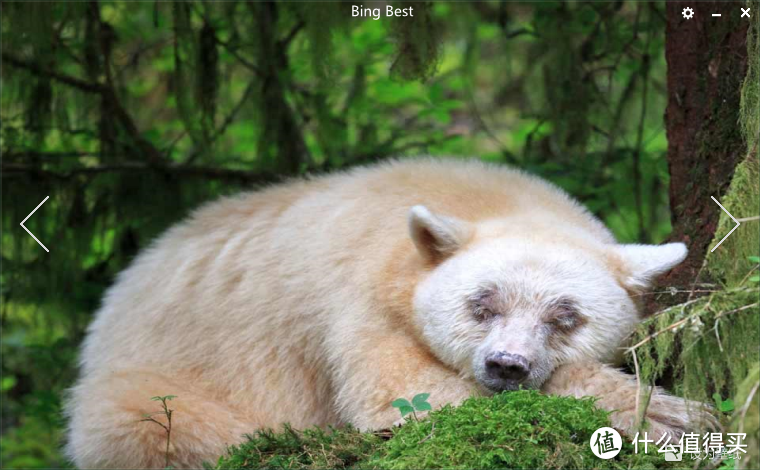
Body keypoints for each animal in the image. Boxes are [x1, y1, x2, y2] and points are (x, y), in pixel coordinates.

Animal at [65, 157, 720, 466]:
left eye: (566, 317)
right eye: (482, 303)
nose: (506, 365)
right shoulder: (358, 298)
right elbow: (404, 394)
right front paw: (667, 416)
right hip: (157, 374)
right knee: (148, 422)